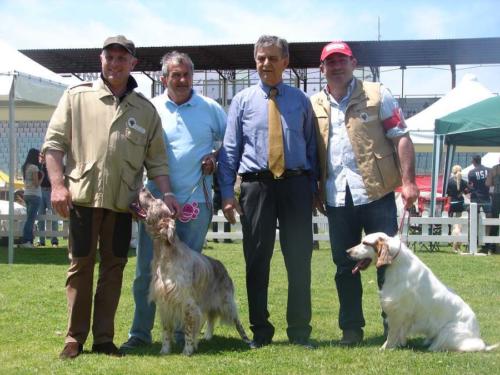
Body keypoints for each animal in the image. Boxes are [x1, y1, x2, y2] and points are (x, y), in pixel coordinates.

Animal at [131, 189, 250, 356]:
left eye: (157, 201)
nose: (143, 189)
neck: (165, 256)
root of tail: (221, 266)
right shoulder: (164, 303)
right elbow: (166, 331)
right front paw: (165, 350)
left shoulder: (188, 303)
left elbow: (188, 330)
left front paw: (187, 350)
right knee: (210, 318)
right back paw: (207, 336)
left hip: (226, 302)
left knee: (236, 321)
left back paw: (248, 340)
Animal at [348, 232, 496, 352]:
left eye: (365, 243)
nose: (347, 251)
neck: (397, 263)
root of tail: (477, 336)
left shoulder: (397, 311)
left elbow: (392, 334)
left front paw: (385, 348)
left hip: (448, 331)